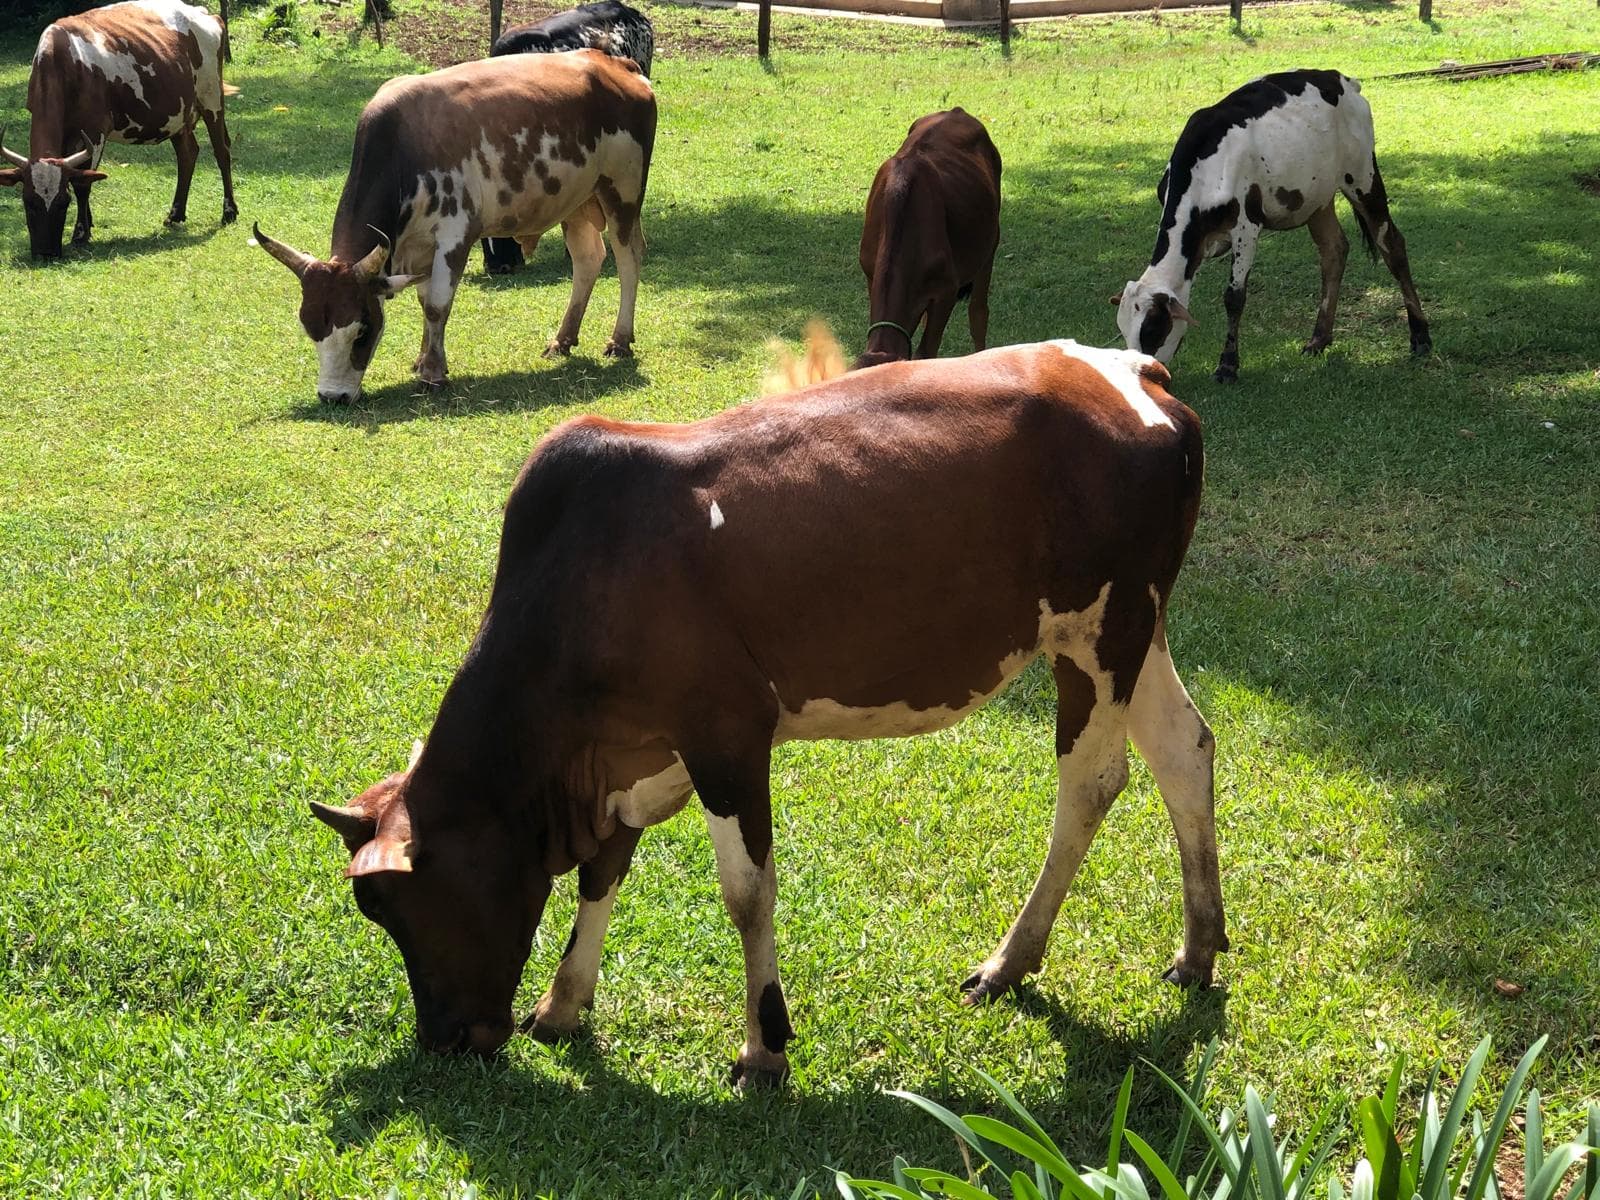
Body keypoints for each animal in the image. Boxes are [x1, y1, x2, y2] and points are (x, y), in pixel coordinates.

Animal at [0, 0, 237, 260]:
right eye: (28, 202)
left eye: (63, 202)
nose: (46, 253)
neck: (64, 63)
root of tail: (206, 14)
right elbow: (80, 175)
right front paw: (88, 224)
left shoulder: (94, 131)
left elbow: (83, 184)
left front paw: (81, 233)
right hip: (178, 112)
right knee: (188, 153)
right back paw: (175, 214)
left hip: (211, 96)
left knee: (221, 151)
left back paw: (229, 212)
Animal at [251, 50, 655, 403]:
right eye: (310, 326)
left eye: (362, 329)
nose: (332, 396)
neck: (402, 147)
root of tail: (615, 64)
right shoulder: (418, 248)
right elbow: (423, 300)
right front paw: (423, 359)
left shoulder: (454, 236)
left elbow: (436, 305)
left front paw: (433, 373)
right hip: (576, 202)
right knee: (588, 260)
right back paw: (564, 339)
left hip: (622, 193)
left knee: (627, 259)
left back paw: (620, 338)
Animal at [309, 333, 1228, 1087]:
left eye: (404, 906)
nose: (445, 1039)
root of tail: (1134, 372)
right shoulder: (636, 753)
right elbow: (605, 869)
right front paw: (564, 1004)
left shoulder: (726, 736)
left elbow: (747, 892)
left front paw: (764, 1046)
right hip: (1132, 630)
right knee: (1185, 749)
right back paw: (1198, 945)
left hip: (1100, 633)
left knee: (1092, 784)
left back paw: (1011, 960)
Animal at [856, 108, 1001, 370]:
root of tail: (957, 110)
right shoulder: (870, 275)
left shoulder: (946, 291)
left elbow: (927, 352)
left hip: (990, 246)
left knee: (978, 313)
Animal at [1114, 69, 1430, 383]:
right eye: (1124, 331)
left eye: (1152, 331)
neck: (1201, 171)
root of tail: (1341, 79)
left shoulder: (1246, 226)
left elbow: (1234, 297)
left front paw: (1228, 366)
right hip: (1317, 198)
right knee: (1334, 250)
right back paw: (1319, 339)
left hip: (1362, 175)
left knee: (1392, 245)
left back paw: (1421, 339)